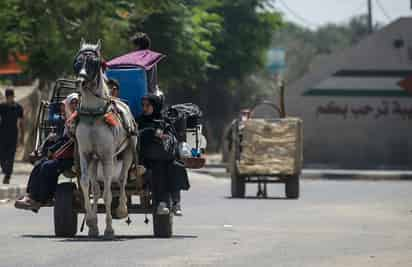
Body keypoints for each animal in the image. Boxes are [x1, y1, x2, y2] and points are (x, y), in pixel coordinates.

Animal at [73, 39, 137, 239]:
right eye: (77, 62)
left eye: (94, 63)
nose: (80, 81)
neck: (94, 114)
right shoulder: (85, 153)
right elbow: (86, 184)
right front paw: (91, 222)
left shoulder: (108, 156)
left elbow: (109, 192)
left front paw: (109, 229)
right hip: (95, 159)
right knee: (95, 188)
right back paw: (93, 224)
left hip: (127, 153)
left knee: (122, 180)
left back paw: (122, 209)